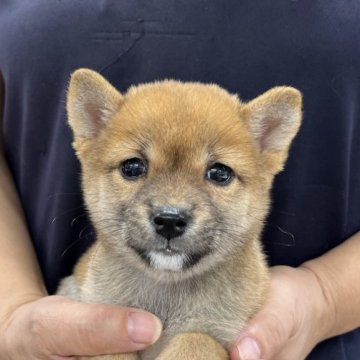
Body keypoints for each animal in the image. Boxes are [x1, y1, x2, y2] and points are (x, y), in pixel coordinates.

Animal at [57, 68, 302, 360]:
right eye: (132, 167)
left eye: (220, 173)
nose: (170, 221)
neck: (167, 295)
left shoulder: (220, 334)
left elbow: (196, 339)